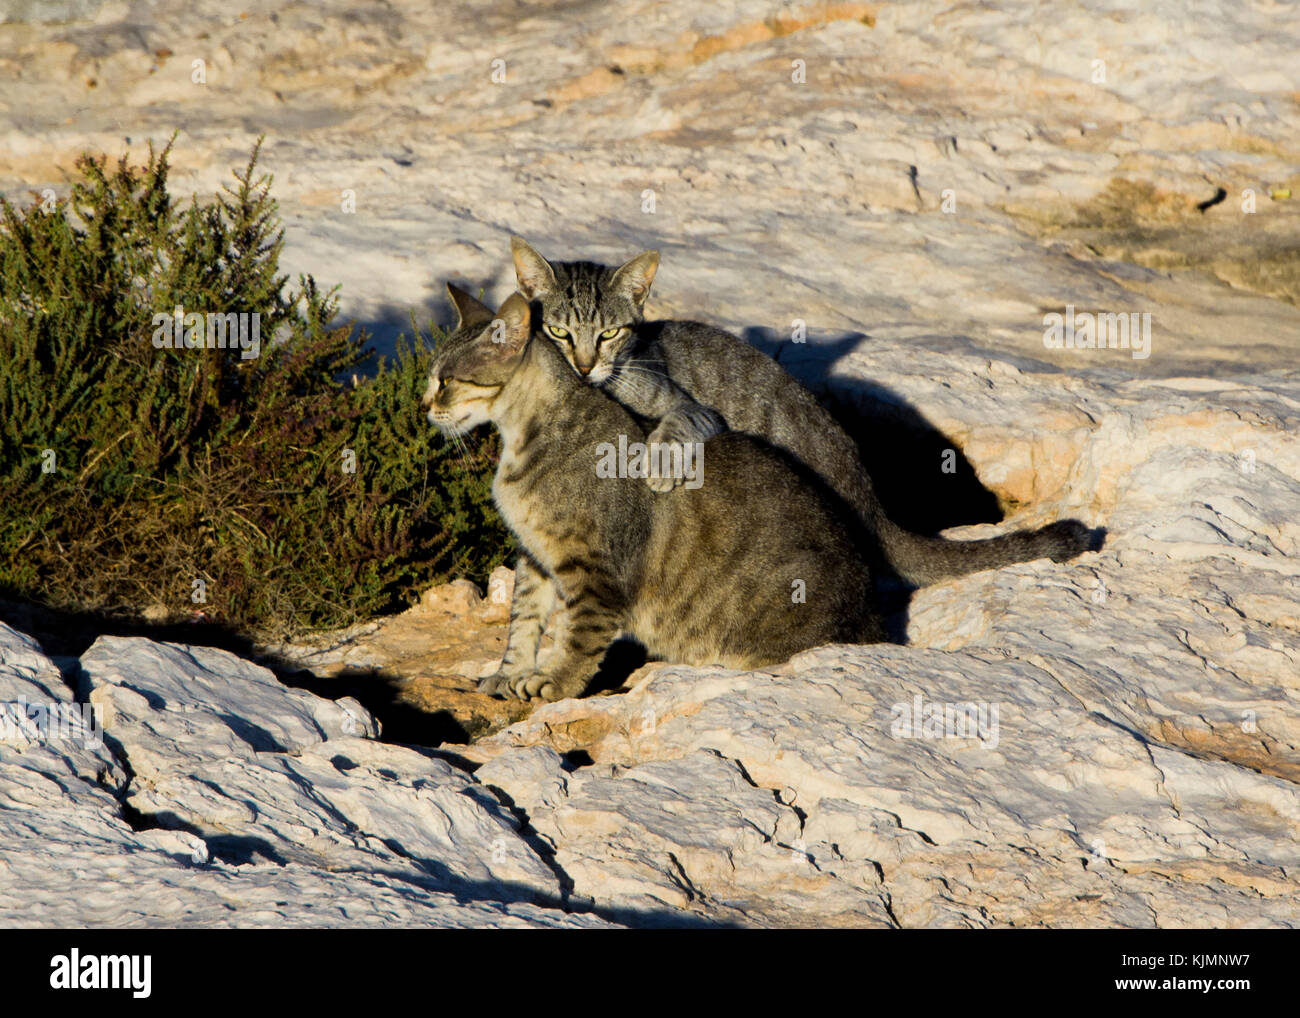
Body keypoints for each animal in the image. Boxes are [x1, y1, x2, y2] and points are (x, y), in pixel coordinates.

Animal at [421, 286, 878, 702]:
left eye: (446, 381)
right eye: (431, 376)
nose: (424, 406)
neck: (521, 440)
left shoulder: (596, 571)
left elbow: (577, 637)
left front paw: (555, 682)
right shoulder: (534, 555)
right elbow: (523, 619)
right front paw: (508, 673)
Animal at [512, 237, 1092, 585]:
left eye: (609, 333)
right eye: (558, 330)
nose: (584, 367)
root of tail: (873, 503)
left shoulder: (692, 408)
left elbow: (675, 423)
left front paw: (656, 464)